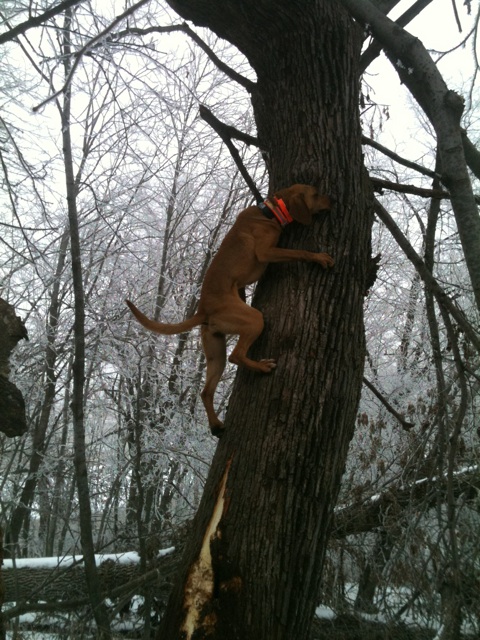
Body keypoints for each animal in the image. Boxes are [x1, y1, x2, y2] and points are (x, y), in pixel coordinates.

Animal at [126, 184, 334, 435]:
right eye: (315, 194)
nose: (333, 200)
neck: (269, 212)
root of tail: (203, 311)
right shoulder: (267, 251)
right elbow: (299, 252)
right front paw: (319, 257)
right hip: (253, 319)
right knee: (237, 355)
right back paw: (261, 367)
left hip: (216, 353)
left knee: (206, 390)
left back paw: (216, 425)